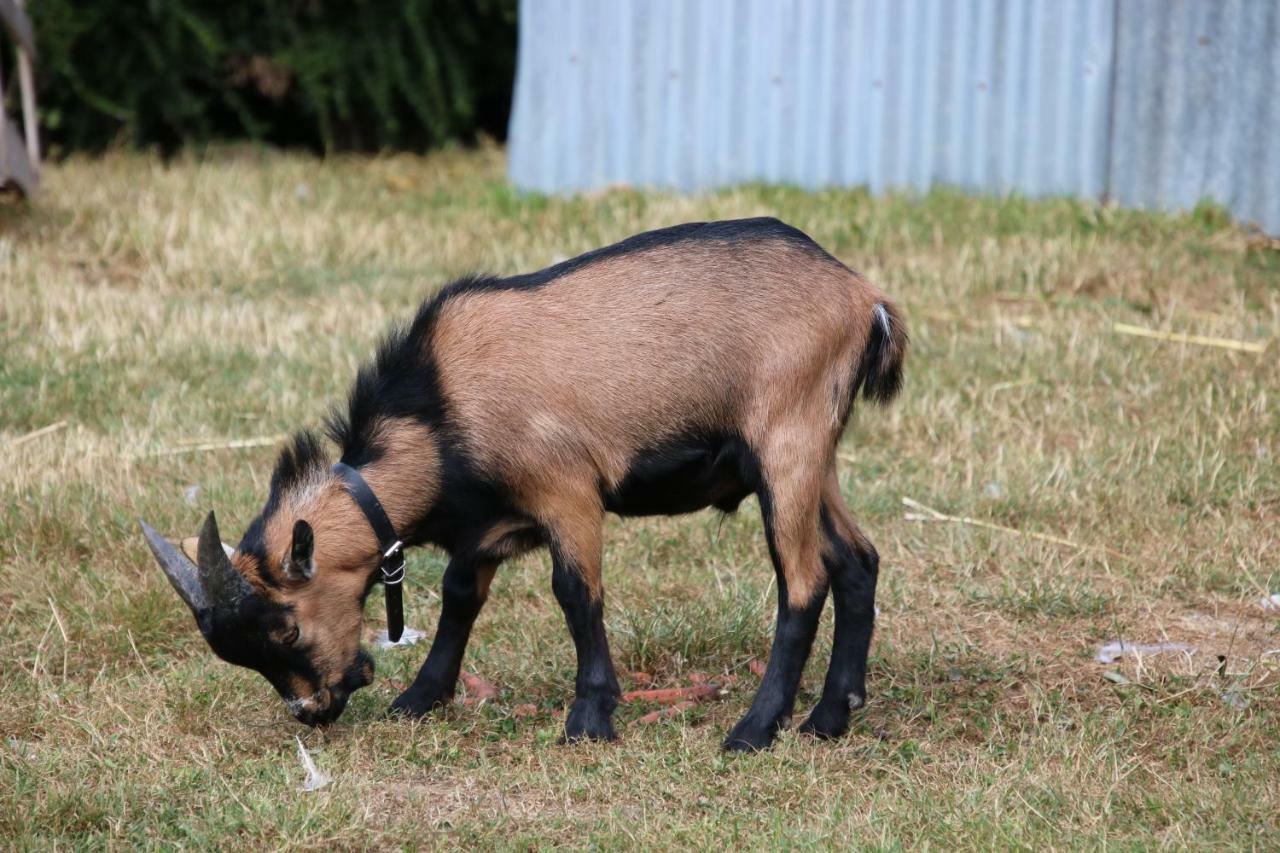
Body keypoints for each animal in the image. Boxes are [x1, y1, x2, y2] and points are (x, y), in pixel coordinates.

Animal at [140, 216, 906, 747]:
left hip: (787, 438)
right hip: (813, 452)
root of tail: (864, 298)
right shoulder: (489, 523)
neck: (442, 409)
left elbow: (576, 595)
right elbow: (459, 594)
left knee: (803, 581)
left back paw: (754, 730)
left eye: (286, 630)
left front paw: (589, 718)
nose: (313, 710)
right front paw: (417, 699)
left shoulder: (566, 490)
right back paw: (830, 716)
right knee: (857, 560)